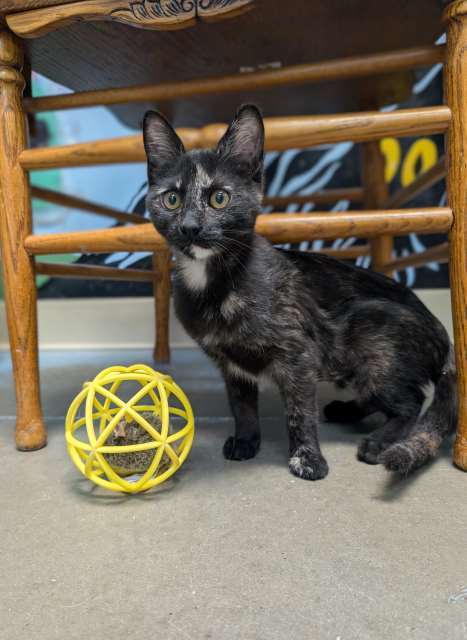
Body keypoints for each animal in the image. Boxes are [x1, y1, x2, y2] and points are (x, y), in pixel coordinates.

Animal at [143, 102, 458, 478]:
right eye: (172, 199)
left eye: (219, 198)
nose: (190, 227)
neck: (212, 281)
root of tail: (443, 336)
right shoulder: (230, 364)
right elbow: (241, 405)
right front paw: (247, 441)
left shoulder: (298, 354)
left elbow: (299, 410)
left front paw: (308, 458)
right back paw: (347, 411)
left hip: (374, 341)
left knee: (410, 403)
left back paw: (379, 442)